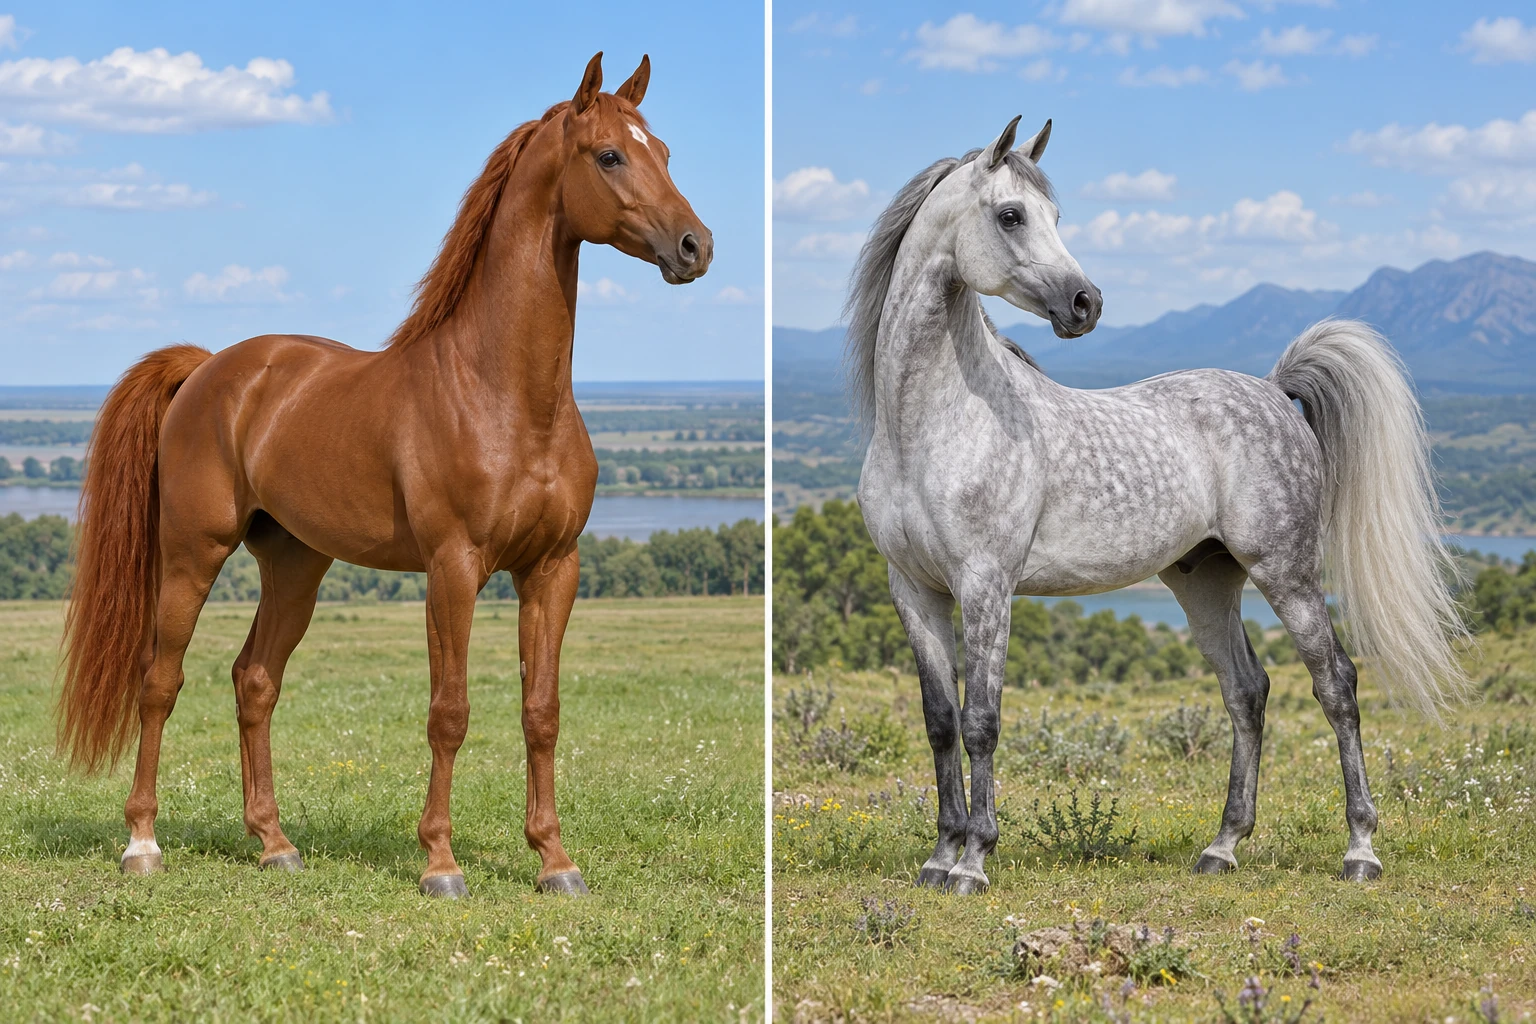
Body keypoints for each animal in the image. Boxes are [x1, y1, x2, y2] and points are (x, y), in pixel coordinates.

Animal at [56, 52, 712, 899]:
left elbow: (542, 712)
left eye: (661, 151)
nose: (696, 246)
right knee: (159, 681)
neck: (504, 396)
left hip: (296, 564)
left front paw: (555, 861)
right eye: (609, 156)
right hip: (190, 556)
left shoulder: (551, 569)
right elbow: (449, 712)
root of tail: (208, 370)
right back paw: (142, 842)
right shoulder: (454, 568)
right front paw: (441, 863)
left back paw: (274, 843)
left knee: (254, 679)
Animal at [846, 115, 1468, 894]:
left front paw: (975, 862)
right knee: (1248, 691)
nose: (1086, 303)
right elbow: (940, 721)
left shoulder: (986, 585)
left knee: (1336, 685)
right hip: (1205, 581)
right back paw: (1223, 846)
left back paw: (1360, 850)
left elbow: (982, 718)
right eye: (1012, 215)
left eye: (1054, 215)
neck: (931, 423)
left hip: (1286, 574)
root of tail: (1274, 391)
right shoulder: (914, 589)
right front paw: (939, 856)